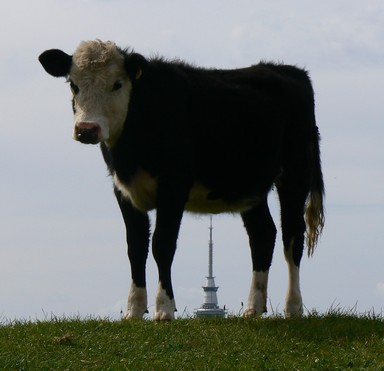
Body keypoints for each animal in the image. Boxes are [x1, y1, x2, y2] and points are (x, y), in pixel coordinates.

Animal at [39, 40, 324, 320]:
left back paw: (293, 307)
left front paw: (164, 308)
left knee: (292, 236)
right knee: (263, 235)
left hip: (295, 173)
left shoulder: (173, 186)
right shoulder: (123, 190)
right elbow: (136, 247)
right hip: (250, 186)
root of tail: (290, 71)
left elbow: (162, 245)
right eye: (73, 84)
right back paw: (254, 306)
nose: (87, 129)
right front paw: (134, 309)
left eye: (117, 84)